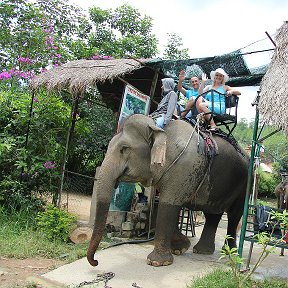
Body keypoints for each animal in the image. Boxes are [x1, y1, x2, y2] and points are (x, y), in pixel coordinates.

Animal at [86, 113, 249, 266]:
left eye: (124, 149)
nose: (96, 262)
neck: (161, 129)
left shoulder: (183, 167)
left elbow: (168, 205)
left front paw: (157, 262)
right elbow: (171, 206)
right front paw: (180, 248)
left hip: (245, 184)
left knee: (234, 215)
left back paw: (232, 254)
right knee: (213, 214)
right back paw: (202, 251)